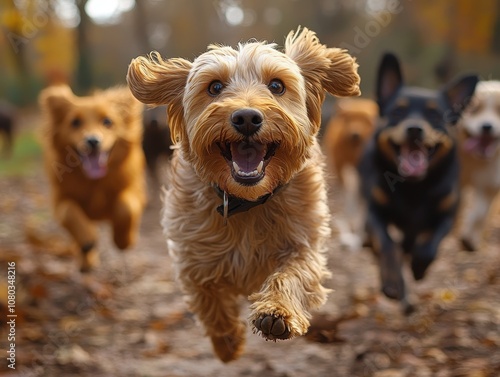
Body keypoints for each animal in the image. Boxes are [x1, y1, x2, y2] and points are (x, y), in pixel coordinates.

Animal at [39, 85, 146, 272]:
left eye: (107, 121)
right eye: (75, 122)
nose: (92, 141)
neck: (95, 182)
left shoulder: (135, 191)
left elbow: (126, 208)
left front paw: (123, 240)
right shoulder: (59, 200)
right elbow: (68, 211)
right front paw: (87, 237)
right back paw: (86, 259)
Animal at [125, 27, 360, 362]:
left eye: (276, 85)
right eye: (214, 87)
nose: (247, 117)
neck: (247, 201)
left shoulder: (304, 243)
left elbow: (294, 273)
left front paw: (277, 312)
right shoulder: (192, 255)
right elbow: (208, 296)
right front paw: (227, 342)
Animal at [360, 53, 476, 312]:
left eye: (435, 115)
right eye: (397, 112)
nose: (415, 128)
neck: (414, 187)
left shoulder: (447, 215)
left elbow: (429, 245)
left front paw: (419, 268)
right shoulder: (375, 213)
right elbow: (387, 245)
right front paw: (393, 282)